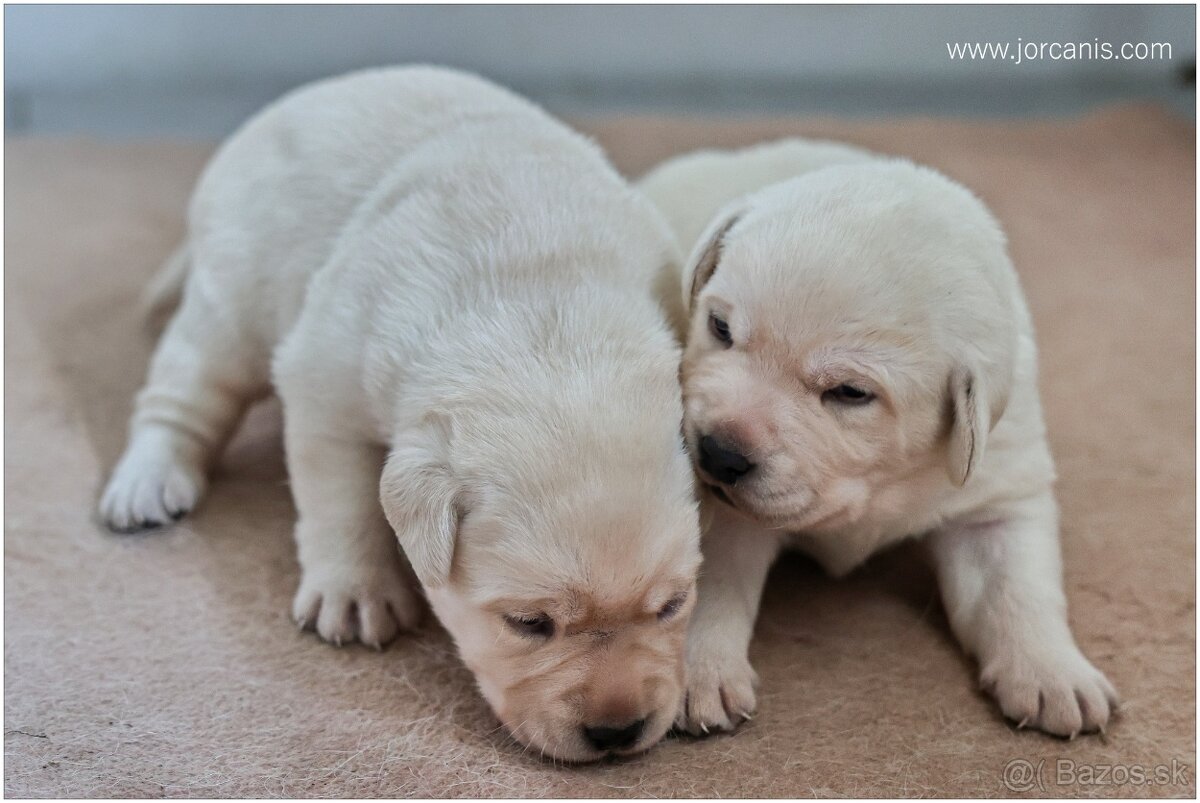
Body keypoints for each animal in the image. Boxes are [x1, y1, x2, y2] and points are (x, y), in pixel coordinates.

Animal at [103, 67, 700, 758]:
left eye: (672, 604)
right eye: (528, 623)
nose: (616, 732)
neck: (543, 326)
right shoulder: (327, 385)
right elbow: (342, 498)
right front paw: (353, 592)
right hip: (231, 301)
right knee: (183, 394)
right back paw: (145, 481)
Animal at [643, 138, 1118, 739]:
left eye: (850, 392)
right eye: (721, 329)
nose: (717, 452)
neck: (875, 490)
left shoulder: (1000, 488)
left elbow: (1018, 585)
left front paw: (1054, 674)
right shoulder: (719, 508)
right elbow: (715, 582)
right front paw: (699, 672)